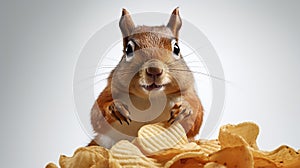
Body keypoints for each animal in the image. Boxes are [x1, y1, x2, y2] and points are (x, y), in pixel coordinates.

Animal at [88, 7, 203, 148]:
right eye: (128, 49)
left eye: (176, 48)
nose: (154, 70)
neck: (150, 99)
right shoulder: (111, 88)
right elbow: (96, 114)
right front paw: (115, 108)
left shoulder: (189, 92)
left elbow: (197, 116)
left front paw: (184, 109)